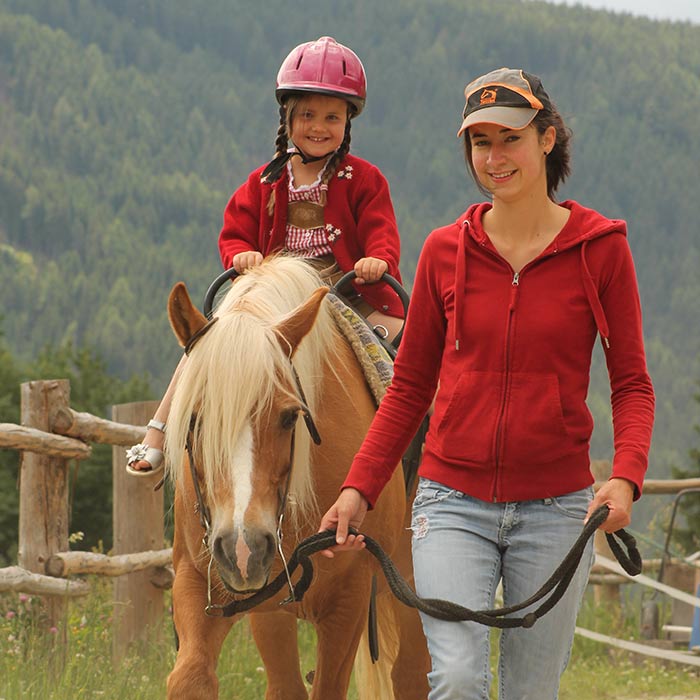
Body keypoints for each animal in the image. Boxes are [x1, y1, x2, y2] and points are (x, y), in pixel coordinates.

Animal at [163, 258, 430, 700]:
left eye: (290, 417)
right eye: (195, 419)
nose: (243, 549)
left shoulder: (349, 598)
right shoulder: (201, 582)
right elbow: (190, 679)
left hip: (411, 582)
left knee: (412, 673)